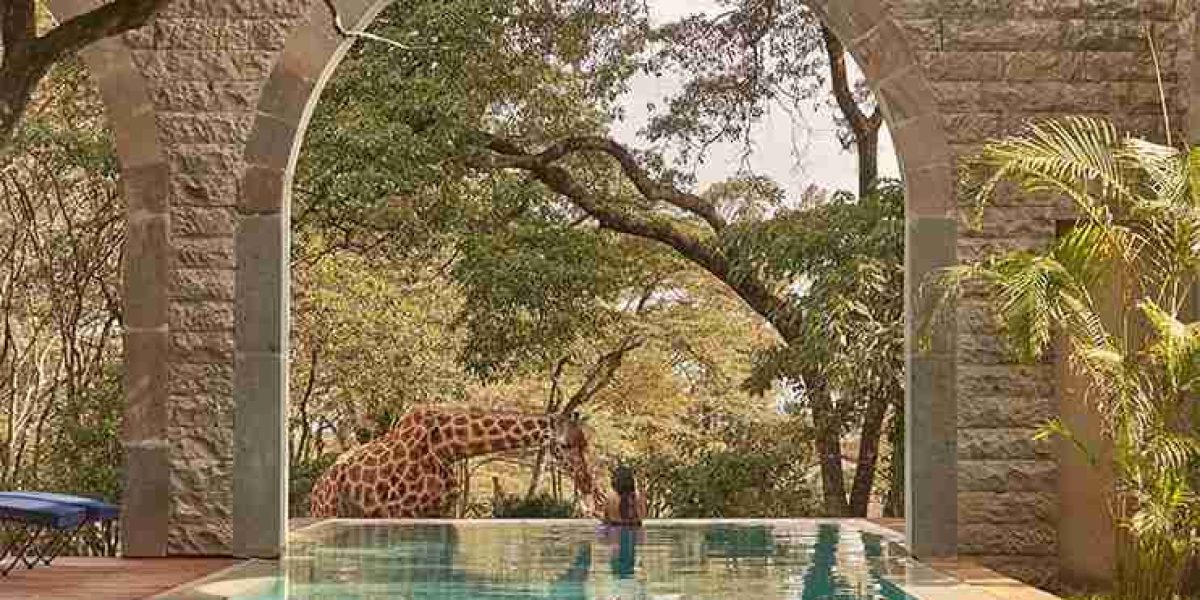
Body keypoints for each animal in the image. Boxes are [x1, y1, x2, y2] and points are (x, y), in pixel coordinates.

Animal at [308, 406, 604, 518]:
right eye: (564, 445)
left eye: (585, 444)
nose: (587, 484)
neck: (449, 448)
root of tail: (317, 487)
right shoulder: (399, 511)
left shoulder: (442, 510)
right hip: (328, 510)